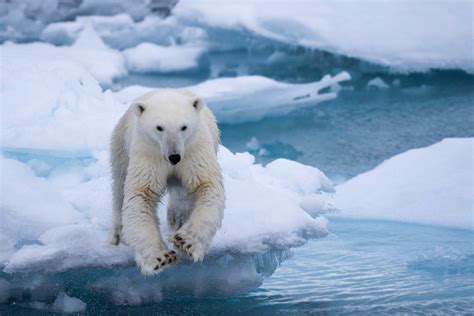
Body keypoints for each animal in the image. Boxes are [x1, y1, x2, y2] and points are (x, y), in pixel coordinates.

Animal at [110, 88, 225, 274]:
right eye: (159, 127)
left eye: (183, 127)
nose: (174, 156)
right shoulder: (148, 152)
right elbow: (141, 194)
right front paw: (162, 258)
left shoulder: (195, 149)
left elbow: (206, 185)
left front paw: (186, 242)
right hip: (121, 146)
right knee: (119, 187)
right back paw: (117, 236)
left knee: (182, 194)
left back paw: (177, 218)